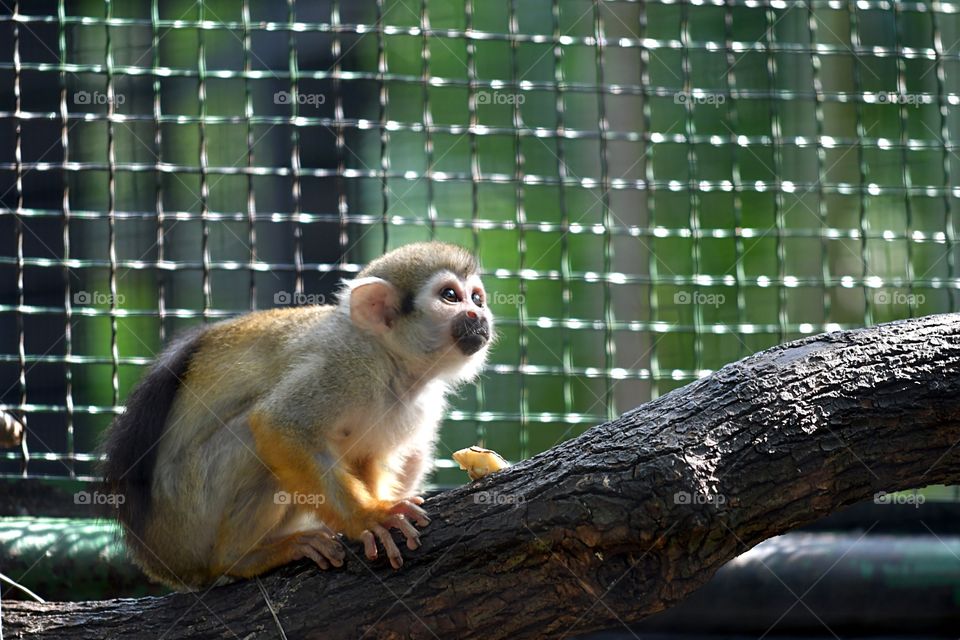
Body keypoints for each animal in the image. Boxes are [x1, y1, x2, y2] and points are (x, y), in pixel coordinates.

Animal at [99, 242, 493, 590]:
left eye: (476, 297)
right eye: (450, 296)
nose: (480, 316)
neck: (392, 360)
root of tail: (158, 557)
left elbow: (366, 458)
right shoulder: (343, 366)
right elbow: (278, 425)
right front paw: (370, 517)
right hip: (188, 513)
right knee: (252, 438)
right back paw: (239, 558)